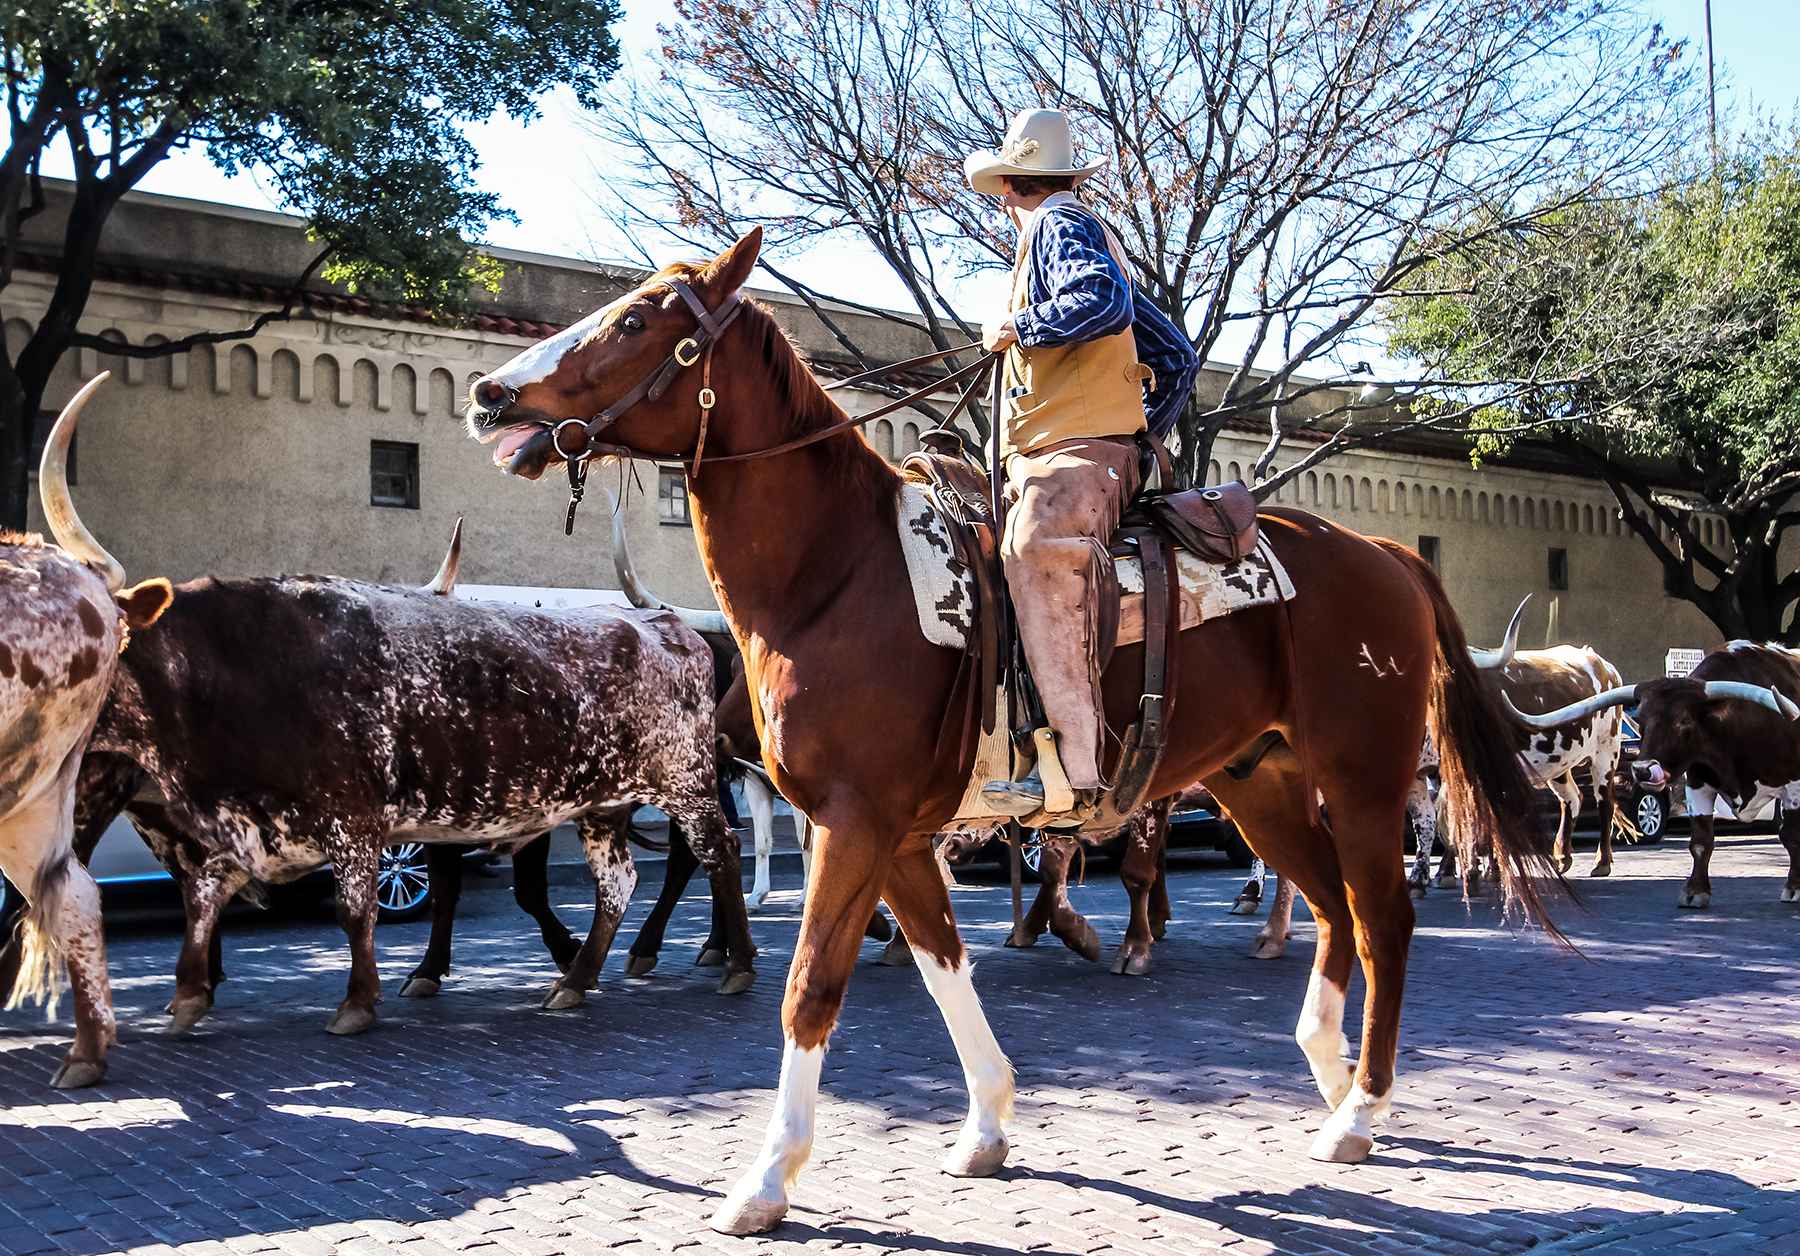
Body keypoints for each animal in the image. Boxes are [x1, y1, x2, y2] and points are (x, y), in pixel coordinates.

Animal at [464, 230, 1562, 1230]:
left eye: (636, 321)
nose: (489, 396)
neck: (839, 574)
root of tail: (1385, 551)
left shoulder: (853, 823)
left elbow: (811, 986)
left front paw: (766, 1181)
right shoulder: (900, 836)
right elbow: (944, 967)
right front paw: (987, 1124)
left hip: (1365, 777)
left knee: (1383, 919)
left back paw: (1361, 1109)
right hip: (1263, 782)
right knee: (1333, 909)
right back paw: (1332, 1084)